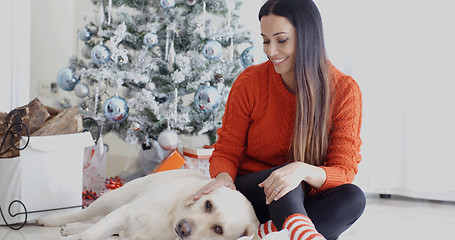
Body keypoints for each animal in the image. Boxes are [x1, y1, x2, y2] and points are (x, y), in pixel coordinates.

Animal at [36, 169, 260, 240]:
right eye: (208, 204)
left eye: (218, 229)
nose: (183, 228)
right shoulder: (126, 212)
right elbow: (91, 234)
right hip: (114, 198)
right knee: (85, 214)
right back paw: (52, 219)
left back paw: (71, 228)